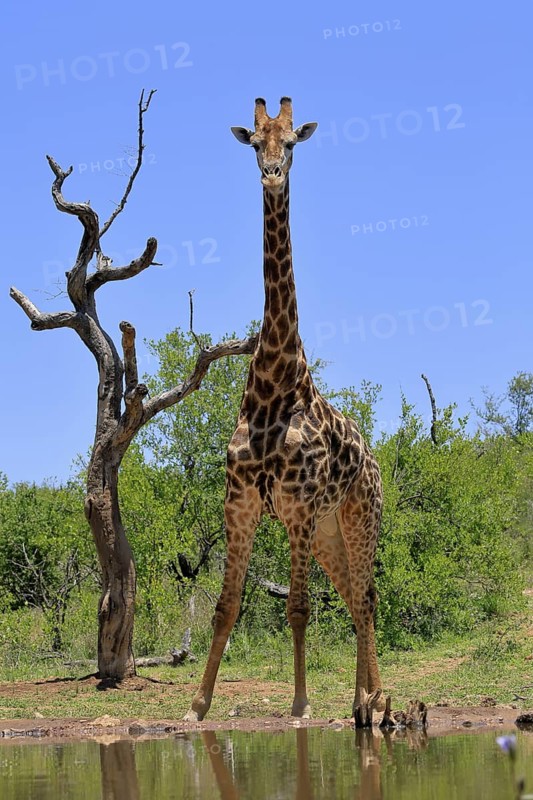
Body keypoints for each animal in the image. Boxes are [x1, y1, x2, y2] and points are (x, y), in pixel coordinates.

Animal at [184, 97, 384, 726]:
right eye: (255, 143)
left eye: (292, 142)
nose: (272, 175)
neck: (274, 381)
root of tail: (375, 462)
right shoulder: (241, 504)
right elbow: (225, 606)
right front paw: (197, 705)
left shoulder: (296, 509)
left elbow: (296, 607)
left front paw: (299, 704)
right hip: (328, 532)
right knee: (353, 595)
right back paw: (362, 701)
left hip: (357, 517)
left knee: (366, 596)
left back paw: (376, 702)